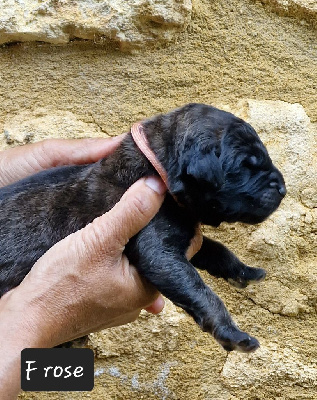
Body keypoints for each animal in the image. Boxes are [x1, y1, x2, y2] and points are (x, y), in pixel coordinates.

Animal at [0, 104, 284, 354]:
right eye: (245, 166)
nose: (283, 189)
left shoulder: (185, 234)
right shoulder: (158, 248)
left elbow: (216, 249)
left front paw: (244, 271)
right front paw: (233, 335)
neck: (159, 166)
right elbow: (202, 291)